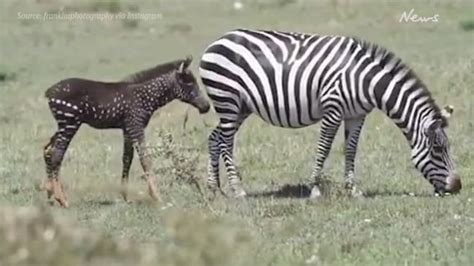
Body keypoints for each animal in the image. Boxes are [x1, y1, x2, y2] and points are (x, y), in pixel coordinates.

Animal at [43, 56, 210, 207]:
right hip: (69, 123)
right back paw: (61, 199)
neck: (145, 96)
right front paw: (157, 196)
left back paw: (50, 193)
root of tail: (49, 92)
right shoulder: (136, 126)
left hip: (63, 125)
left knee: (48, 149)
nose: (206, 107)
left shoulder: (127, 129)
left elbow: (127, 159)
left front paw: (125, 196)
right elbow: (145, 159)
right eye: (189, 83)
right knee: (57, 153)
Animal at [198, 29, 462, 200]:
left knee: (215, 138)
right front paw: (315, 189)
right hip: (228, 99)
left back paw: (214, 189)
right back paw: (237, 190)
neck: (365, 81)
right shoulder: (333, 109)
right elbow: (323, 148)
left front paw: (352, 190)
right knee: (226, 143)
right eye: (438, 150)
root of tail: (217, 41)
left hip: (240, 107)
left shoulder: (357, 115)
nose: (458, 186)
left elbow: (351, 149)